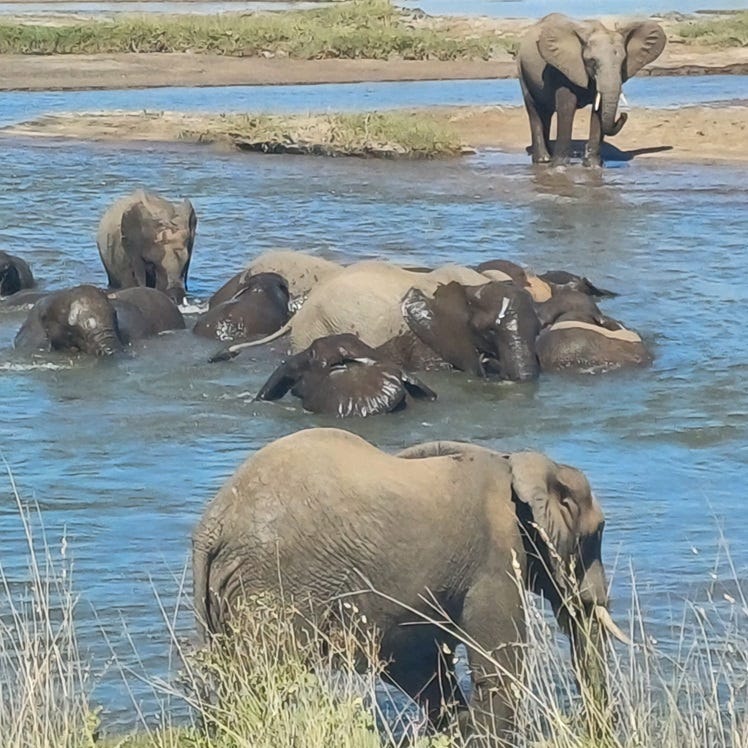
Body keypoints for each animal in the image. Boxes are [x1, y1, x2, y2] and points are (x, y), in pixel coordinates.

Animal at [192, 428, 629, 745]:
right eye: (597, 533)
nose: (596, 734)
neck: (515, 463)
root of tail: (214, 524)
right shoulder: (494, 556)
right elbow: (500, 663)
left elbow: (418, 663)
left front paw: (457, 731)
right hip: (276, 586)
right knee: (265, 676)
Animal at [517, 13, 666, 166]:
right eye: (592, 61)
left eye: (623, 62)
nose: (623, 114)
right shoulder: (562, 68)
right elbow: (567, 107)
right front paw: (560, 166)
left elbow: (598, 109)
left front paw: (593, 165)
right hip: (522, 69)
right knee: (534, 109)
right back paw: (543, 160)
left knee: (546, 112)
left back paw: (548, 156)